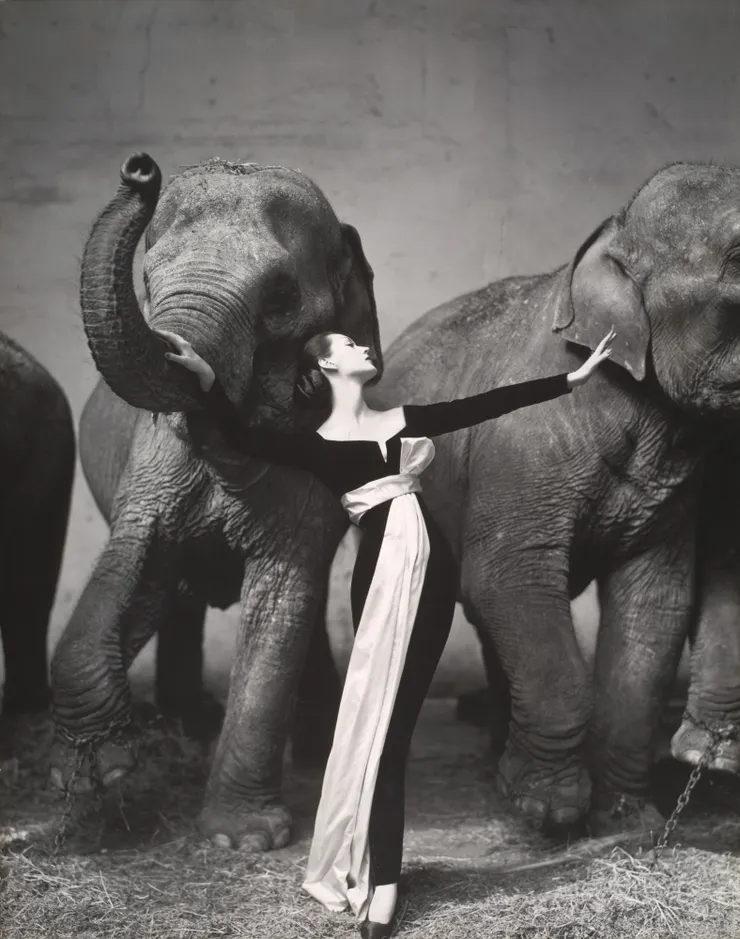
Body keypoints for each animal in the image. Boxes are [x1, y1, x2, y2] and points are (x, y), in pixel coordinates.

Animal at [48, 152, 381, 851]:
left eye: (280, 297)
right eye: (147, 280)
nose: (140, 170)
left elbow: (284, 596)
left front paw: (240, 841)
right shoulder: (150, 465)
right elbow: (134, 559)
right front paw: (96, 773)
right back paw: (187, 725)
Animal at [356, 160, 740, 831]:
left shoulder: (673, 491)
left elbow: (654, 603)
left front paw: (628, 820)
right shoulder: (521, 447)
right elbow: (509, 576)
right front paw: (546, 810)